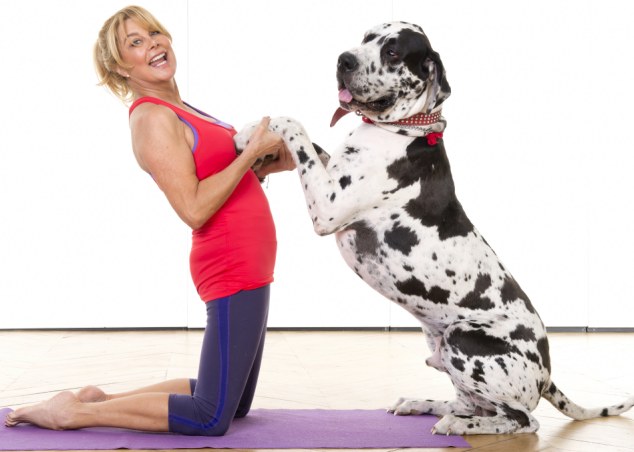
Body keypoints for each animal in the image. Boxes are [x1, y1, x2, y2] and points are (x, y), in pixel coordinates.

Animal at [233, 22, 632, 438]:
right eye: (366, 37)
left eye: (393, 52)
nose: (344, 60)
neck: (404, 131)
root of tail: (547, 374)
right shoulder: (332, 171)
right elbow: (314, 144)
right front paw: (250, 134)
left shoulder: (328, 206)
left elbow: (296, 125)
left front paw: (268, 127)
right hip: (442, 347)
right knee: (474, 404)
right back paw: (424, 405)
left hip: (464, 338)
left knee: (522, 420)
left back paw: (459, 425)